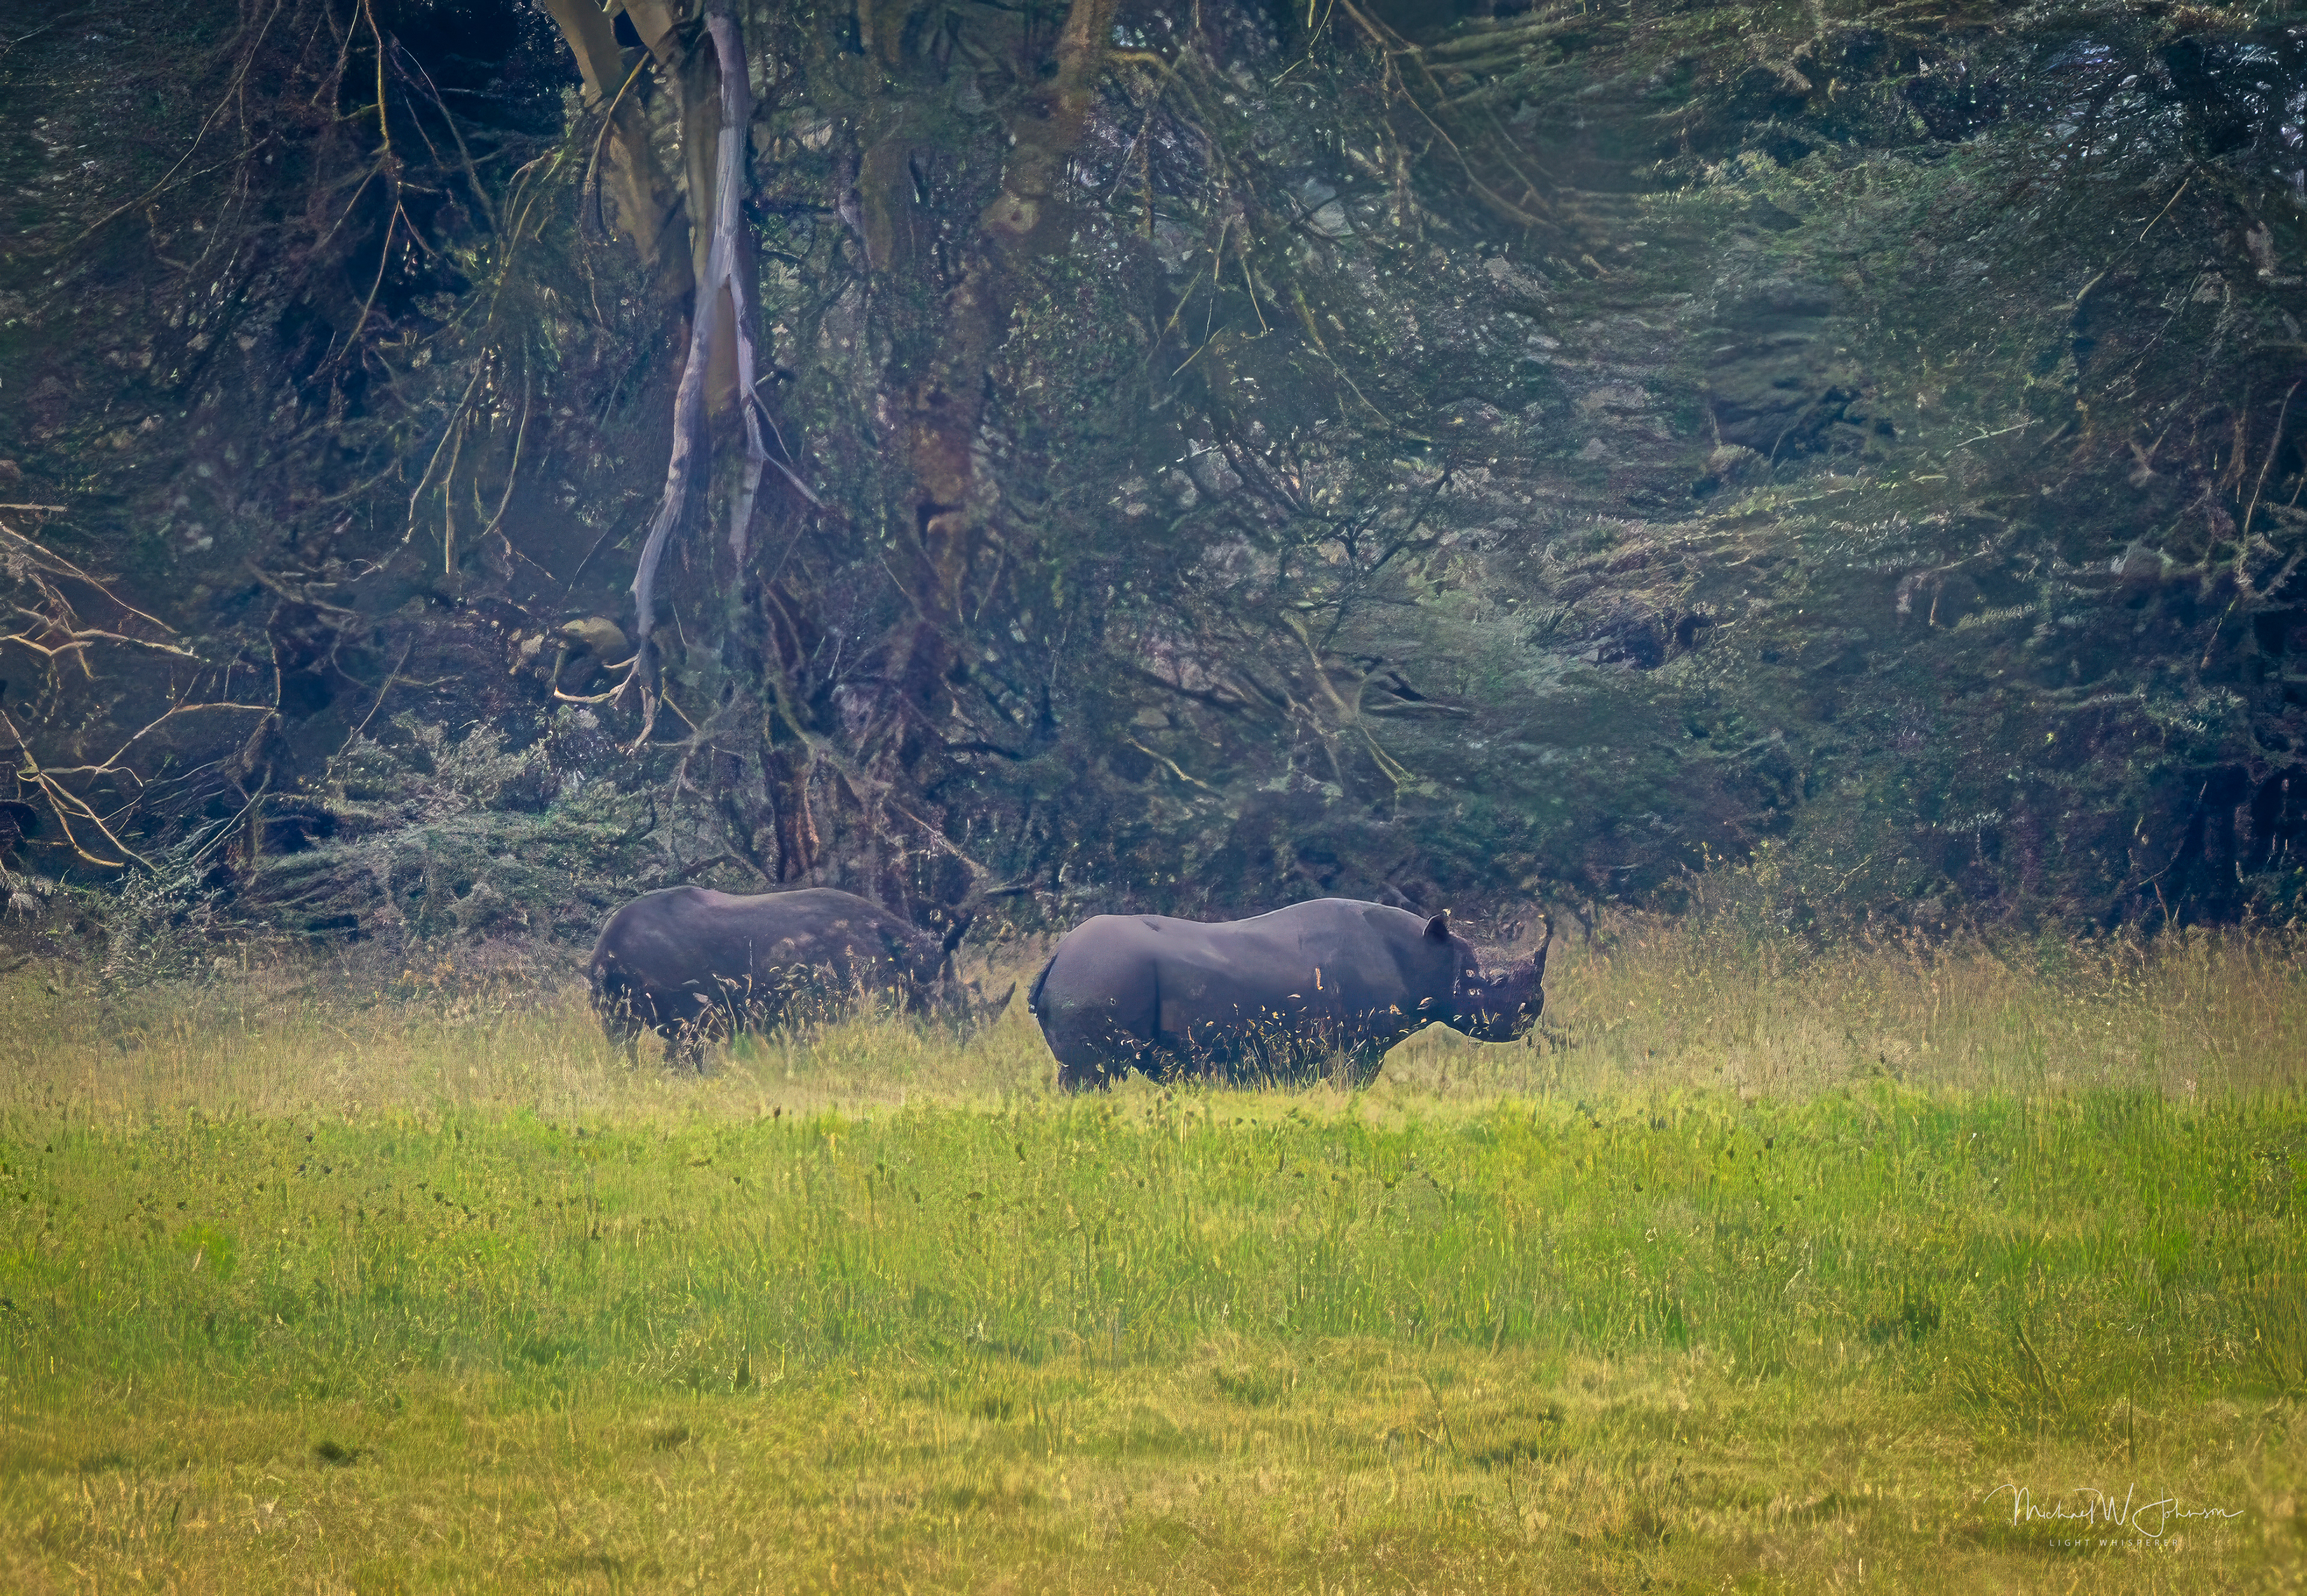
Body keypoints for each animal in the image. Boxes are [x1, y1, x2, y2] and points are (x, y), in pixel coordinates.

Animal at [1028, 898, 1551, 1090]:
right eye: (1487, 984)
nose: (1534, 1010)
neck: (1424, 957)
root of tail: (1056, 956)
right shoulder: (1353, 1049)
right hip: (1098, 974)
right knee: (1091, 1073)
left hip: (1092, 973)